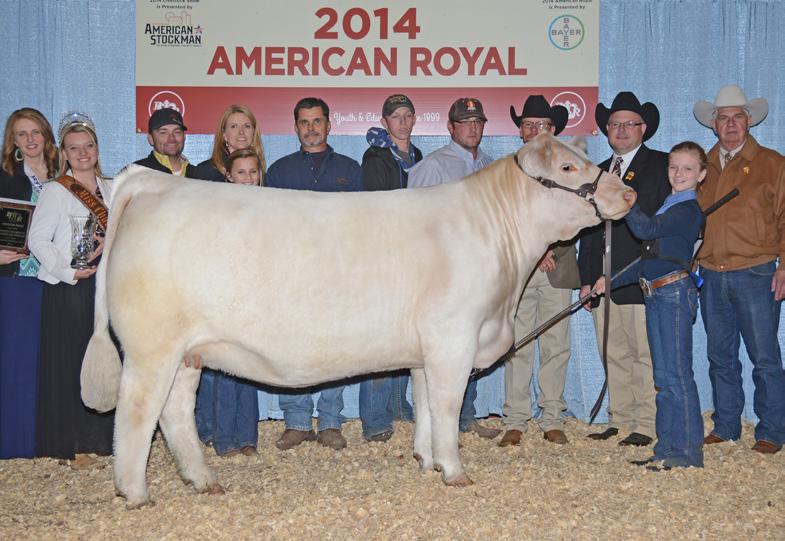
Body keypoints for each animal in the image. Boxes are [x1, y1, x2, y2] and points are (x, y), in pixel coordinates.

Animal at [81, 133, 635, 508]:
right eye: (568, 165)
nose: (627, 196)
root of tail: (150, 184)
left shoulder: (426, 350)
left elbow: (425, 405)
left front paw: (426, 459)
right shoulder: (453, 339)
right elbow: (448, 407)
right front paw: (454, 471)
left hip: (188, 352)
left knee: (175, 412)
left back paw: (202, 480)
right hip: (152, 348)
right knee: (137, 411)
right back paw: (135, 492)